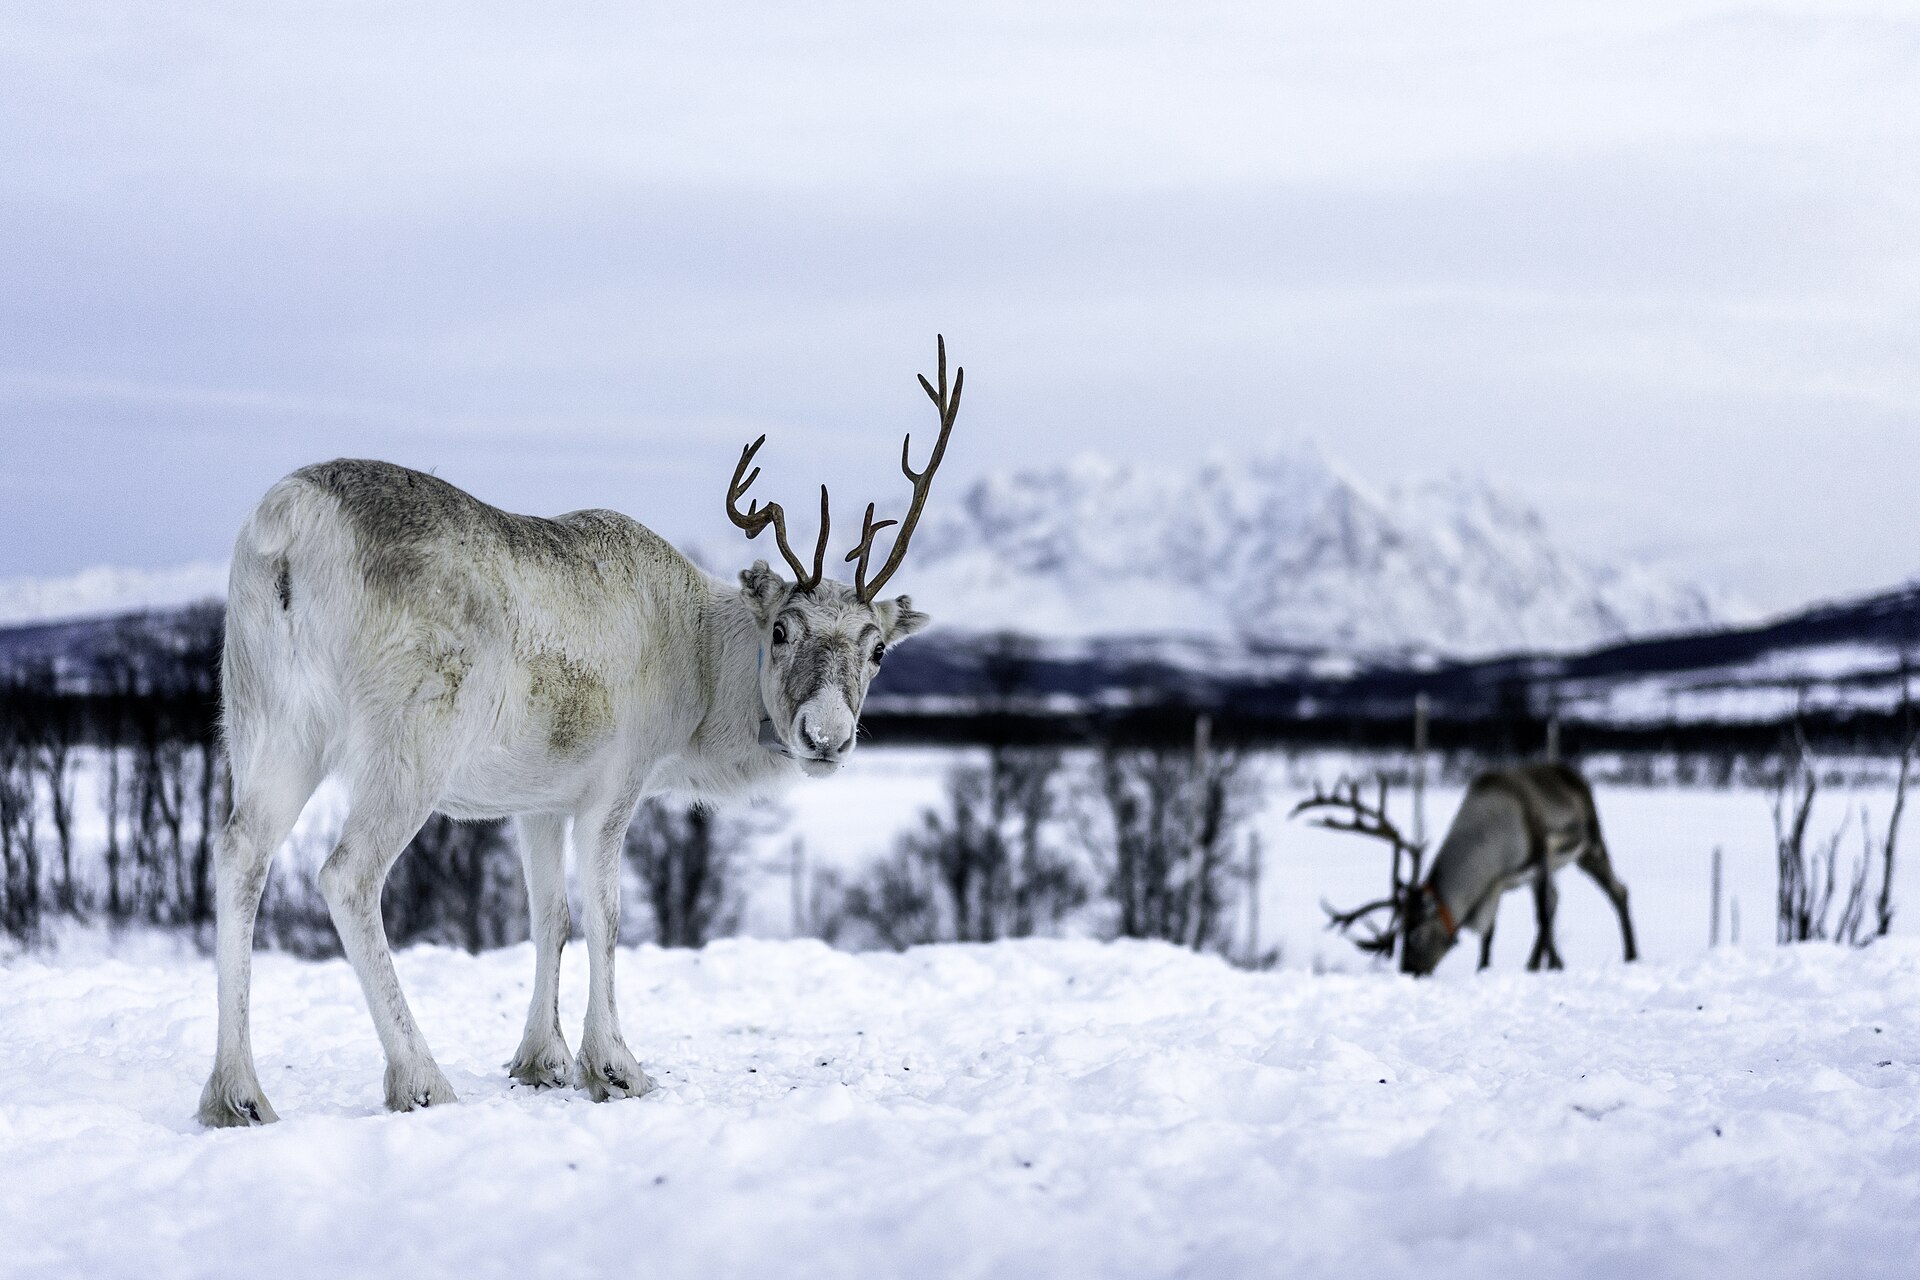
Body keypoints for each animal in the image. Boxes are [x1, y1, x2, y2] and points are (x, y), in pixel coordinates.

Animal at [198, 338, 964, 1127]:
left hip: (268, 723)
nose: (826, 736)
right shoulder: (614, 787)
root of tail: (290, 526)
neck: (700, 662)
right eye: (783, 629)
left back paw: (236, 1093)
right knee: (347, 874)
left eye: (879, 650)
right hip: (410, 743)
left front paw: (542, 1059)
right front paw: (615, 1065)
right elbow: (607, 917)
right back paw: (419, 1077)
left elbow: (550, 915)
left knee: (239, 851)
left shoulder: (539, 800)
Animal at [1300, 761, 1638, 976]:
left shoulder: (1539, 857)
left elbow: (1540, 916)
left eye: (1415, 934)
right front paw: (1484, 968)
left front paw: (1539, 967)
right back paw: (1550, 963)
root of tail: (1575, 775)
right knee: (1557, 900)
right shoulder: (1496, 885)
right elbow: (1489, 935)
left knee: (1617, 891)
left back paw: (1630, 955)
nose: (1411, 971)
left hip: (1590, 844)